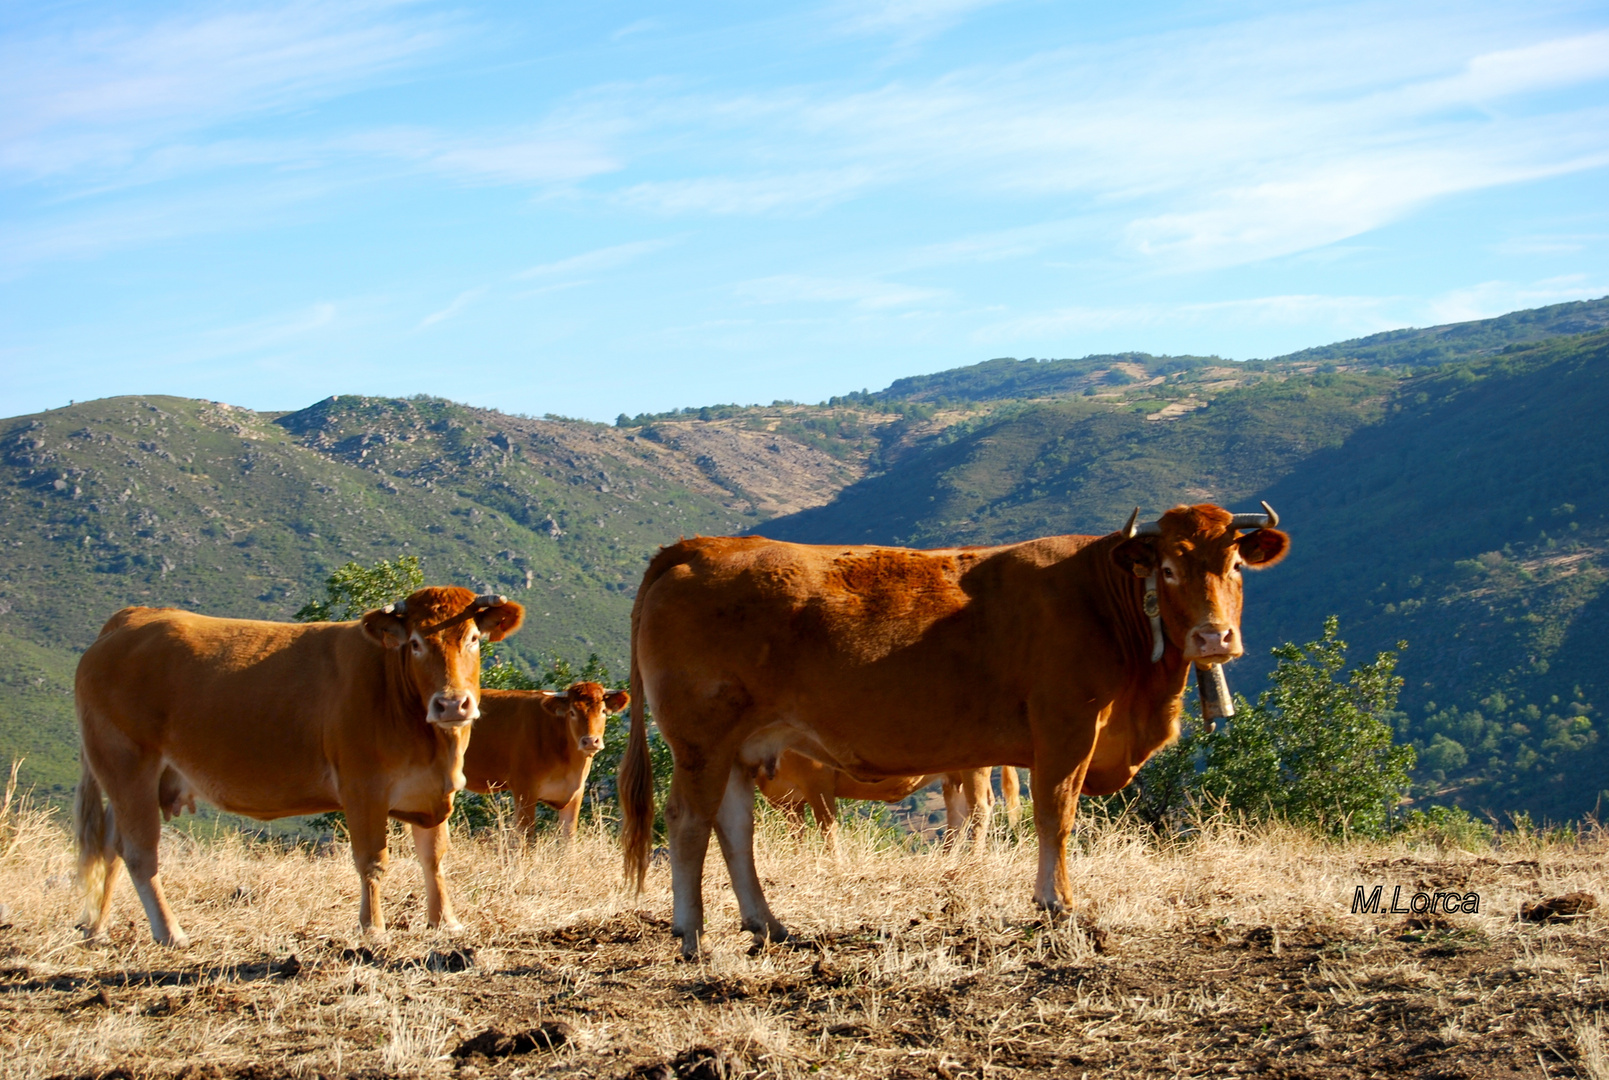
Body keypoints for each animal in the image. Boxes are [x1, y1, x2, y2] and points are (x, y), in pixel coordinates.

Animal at [72, 585, 524, 939]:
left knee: (111, 845)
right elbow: (373, 861)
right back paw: (169, 932)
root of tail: (133, 618)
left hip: (140, 779)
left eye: (473, 638)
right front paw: (372, 927)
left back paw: (97, 927)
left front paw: (445, 922)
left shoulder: (432, 791)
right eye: (415, 643)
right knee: (139, 852)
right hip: (126, 765)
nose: (452, 704)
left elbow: (435, 858)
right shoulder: (363, 787)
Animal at [621, 502, 1287, 959]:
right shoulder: (1066, 726)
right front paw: (1056, 904)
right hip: (701, 740)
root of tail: (699, 546)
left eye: (1233, 564)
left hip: (739, 747)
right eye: (1168, 570)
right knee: (688, 821)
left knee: (735, 828)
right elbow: (1056, 813)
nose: (1214, 637)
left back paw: (767, 924)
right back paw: (692, 934)